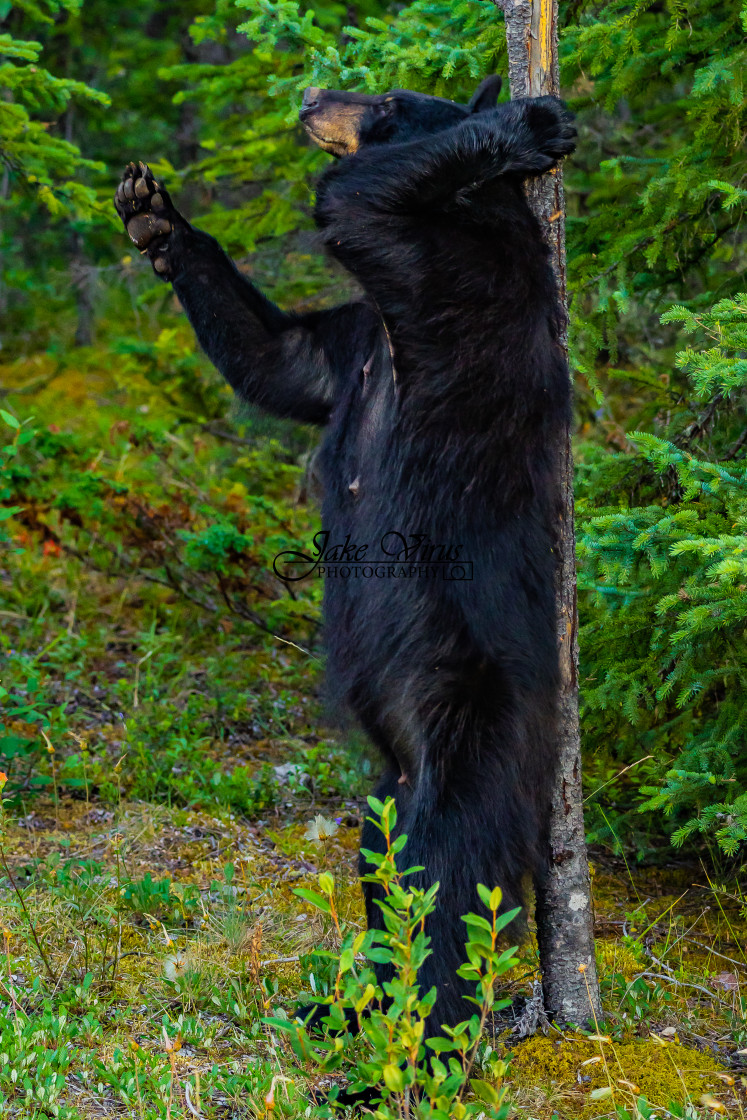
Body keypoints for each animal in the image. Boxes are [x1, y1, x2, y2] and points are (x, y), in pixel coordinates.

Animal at [114, 78, 577, 1034]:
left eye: (387, 94)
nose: (310, 92)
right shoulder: (352, 341)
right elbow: (281, 360)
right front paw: (153, 214)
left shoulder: (444, 275)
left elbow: (357, 204)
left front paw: (530, 124)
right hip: (386, 788)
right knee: (385, 864)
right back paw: (352, 1011)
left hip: (470, 733)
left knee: (449, 881)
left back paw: (417, 1043)